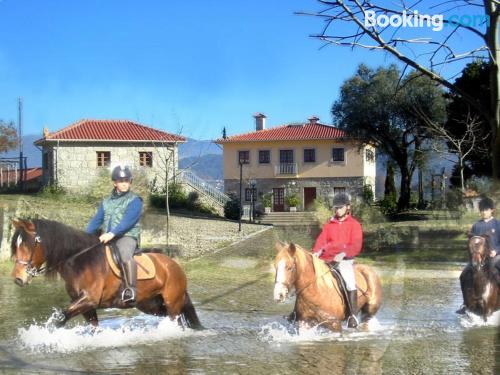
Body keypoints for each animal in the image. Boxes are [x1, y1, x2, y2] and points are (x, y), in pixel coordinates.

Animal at [10, 219, 201, 330]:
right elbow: (93, 327)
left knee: (176, 319)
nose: (18, 278)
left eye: (26, 244)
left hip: (172, 303)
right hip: (150, 304)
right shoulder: (85, 306)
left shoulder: (89, 299)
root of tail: (174, 265)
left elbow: (60, 318)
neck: (80, 260)